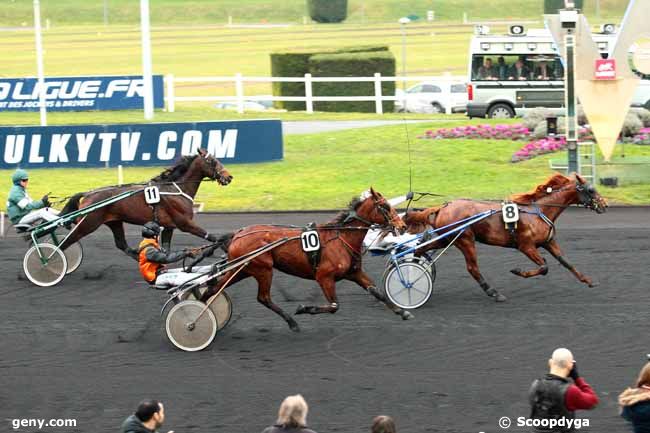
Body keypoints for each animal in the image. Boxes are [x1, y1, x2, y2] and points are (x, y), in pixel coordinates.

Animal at [57, 148, 232, 256]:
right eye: (213, 161)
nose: (229, 177)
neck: (175, 189)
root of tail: (88, 193)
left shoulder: (169, 226)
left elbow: (166, 248)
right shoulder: (185, 223)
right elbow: (213, 237)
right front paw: (227, 247)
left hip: (114, 222)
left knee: (122, 244)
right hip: (87, 224)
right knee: (64, 244)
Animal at [200, 187, 408, 332]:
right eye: (385, 206)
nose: (403, 225)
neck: (341, 237)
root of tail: (237, 234)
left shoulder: (354, 273)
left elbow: (377, 292)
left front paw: (402, 311)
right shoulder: (324, 277)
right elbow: (334, 306)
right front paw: (304, 308)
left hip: (243, 269)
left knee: (214, 288)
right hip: (263, 269)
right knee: (263, 298)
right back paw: (292, 322)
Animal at [402, 172, 604, 300]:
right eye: (591, 190)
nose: (603, 204)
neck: (538, 211)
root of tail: (444, 206)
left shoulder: (548, 242)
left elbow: (566, 262)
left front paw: (588, 281)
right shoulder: (526, 246)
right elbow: (544, 267)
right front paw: (518, 271)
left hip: (447, 239)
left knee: (420, 249)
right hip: (465, 239)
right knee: (472, 268)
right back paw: (493, 292)